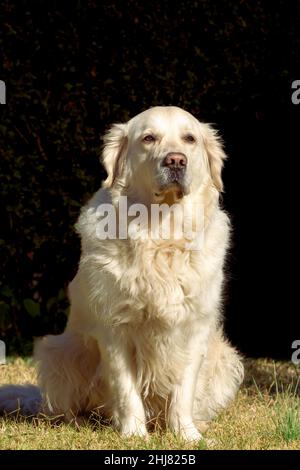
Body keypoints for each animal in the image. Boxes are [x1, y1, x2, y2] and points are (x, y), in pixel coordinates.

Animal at [0, 105, 244, 440]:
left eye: (189, 138)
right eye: (149, 138)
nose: (176, 160)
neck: (161, 234)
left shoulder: (194, 327)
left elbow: (183, 389)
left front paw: (187, 435)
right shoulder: (115, 328)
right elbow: (126, 388)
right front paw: (134, 435)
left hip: (224, 357)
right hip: (57, 351)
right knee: (65, 406)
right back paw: (78, 422)